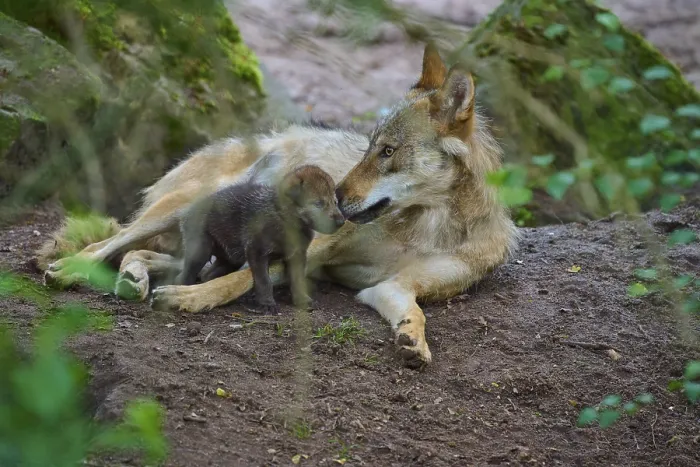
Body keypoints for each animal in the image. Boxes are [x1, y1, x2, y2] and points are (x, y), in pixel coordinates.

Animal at [41, 45, 518, 368]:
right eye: (368, 147)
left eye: (387, 151)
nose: (335, 199)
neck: (429, 227)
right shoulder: (310, 250)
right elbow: (235, 283)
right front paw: (188, 300)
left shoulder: (393, 287)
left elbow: (414, 312)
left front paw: (412, 339)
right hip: (181, 211)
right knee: (110, 242)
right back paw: (70, 271)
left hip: (205, 244)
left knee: (142, 253)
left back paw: (133, 280)